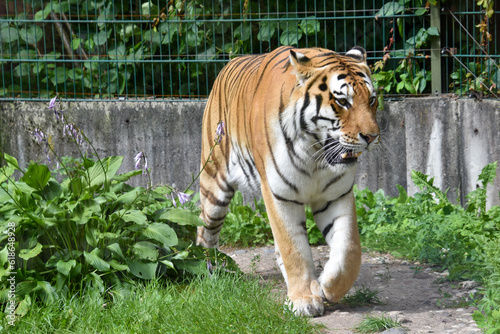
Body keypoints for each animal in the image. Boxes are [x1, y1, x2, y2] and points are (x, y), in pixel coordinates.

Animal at [195, 45, 378, 318]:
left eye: (372, 100)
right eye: (342, 102)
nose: (372, 137)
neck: (316, 155)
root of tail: (230, 63)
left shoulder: (336, 195)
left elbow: (349, 248)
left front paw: (327, 286)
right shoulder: (280, 195)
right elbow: (294, 249)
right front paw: (303, 300)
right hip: (214, 185)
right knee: (204, 230)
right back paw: (207, 271)